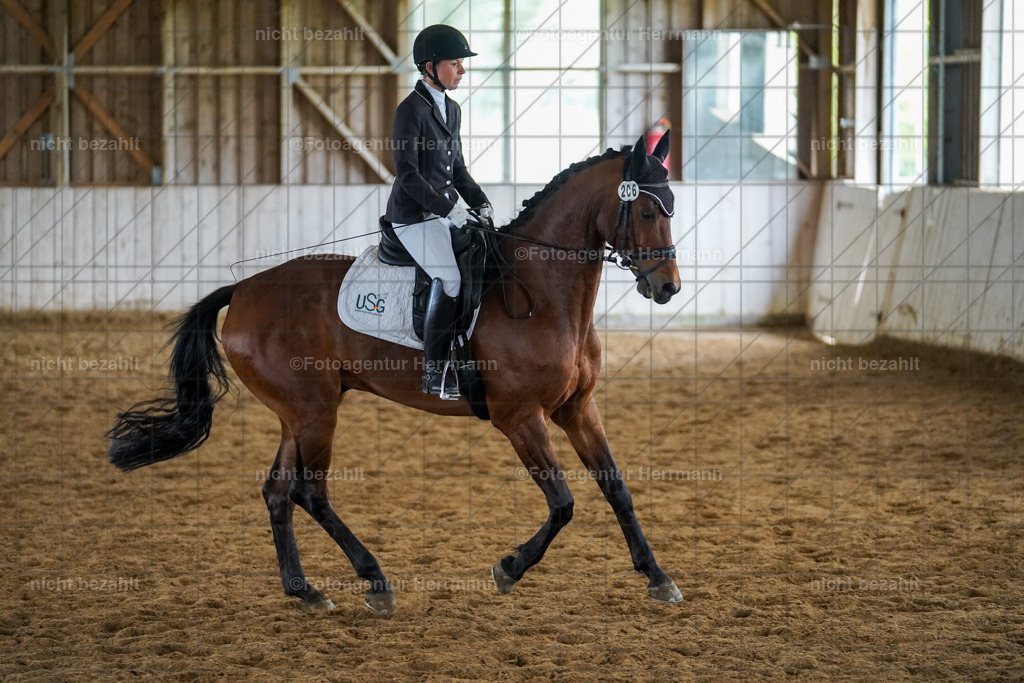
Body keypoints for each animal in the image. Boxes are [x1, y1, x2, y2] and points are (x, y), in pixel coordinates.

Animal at [107, 133, 684, 615]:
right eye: (647, 211)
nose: (668, 288)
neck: (541, 291)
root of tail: (243, 290)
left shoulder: (577, 408)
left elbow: (617, 489)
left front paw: (658, 577)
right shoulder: (521, 418)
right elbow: (563, 504)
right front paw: (508, 568)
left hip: (299, 413)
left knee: (277, 491)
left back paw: (305, 591)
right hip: (315, 412)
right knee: (309, 492)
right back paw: (376, 582)